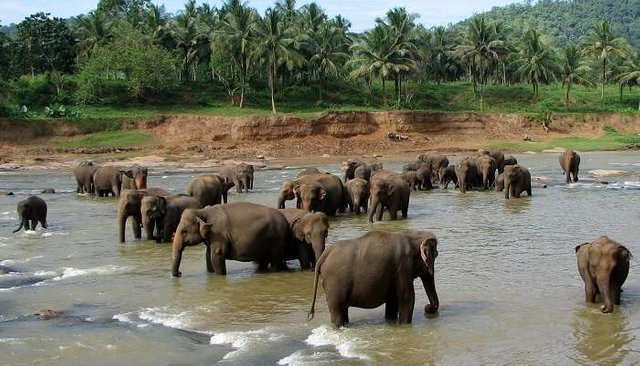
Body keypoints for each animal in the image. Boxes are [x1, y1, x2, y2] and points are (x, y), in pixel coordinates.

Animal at [306, 230, 438, 328]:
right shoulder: (404, 266)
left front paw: (391, 323)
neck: (413, 235)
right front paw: (404, 325)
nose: (427, 308)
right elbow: (407, 298)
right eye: (436, 255)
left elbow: (393, 300)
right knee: (337, 310)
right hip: (334, 283)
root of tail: (325, 253)